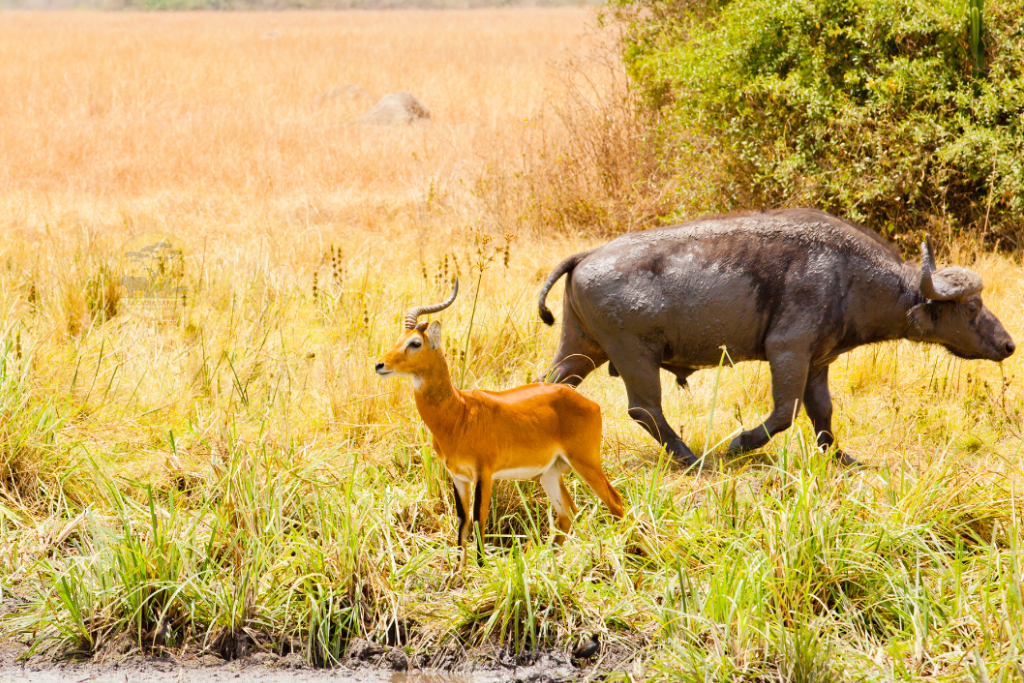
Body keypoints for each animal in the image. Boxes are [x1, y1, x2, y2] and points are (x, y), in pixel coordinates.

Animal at [374, 278, 622, 565]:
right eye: (399, 339)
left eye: (414, 343)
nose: (380, 365)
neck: (459, 412)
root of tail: (588, 402)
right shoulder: (458, 476)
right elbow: (462, 523)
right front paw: (459, 570)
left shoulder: (485, 473)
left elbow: (479, 520)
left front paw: (481, 566)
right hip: (550, 472)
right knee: (567, 514)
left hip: (586, 462)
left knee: (615, 503)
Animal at [540, 206, 1011, 471]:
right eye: (972, 307)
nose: (1008, 345)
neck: (848, 275)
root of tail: (588, 255)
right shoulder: (788, 352)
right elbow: (785, 413)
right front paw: (738, 445)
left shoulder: (818, 362)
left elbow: (823, 413)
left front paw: (841, 459)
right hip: (634, 356)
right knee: (645, 410)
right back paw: (694, 459)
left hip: (580, 350)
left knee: (550, 386)